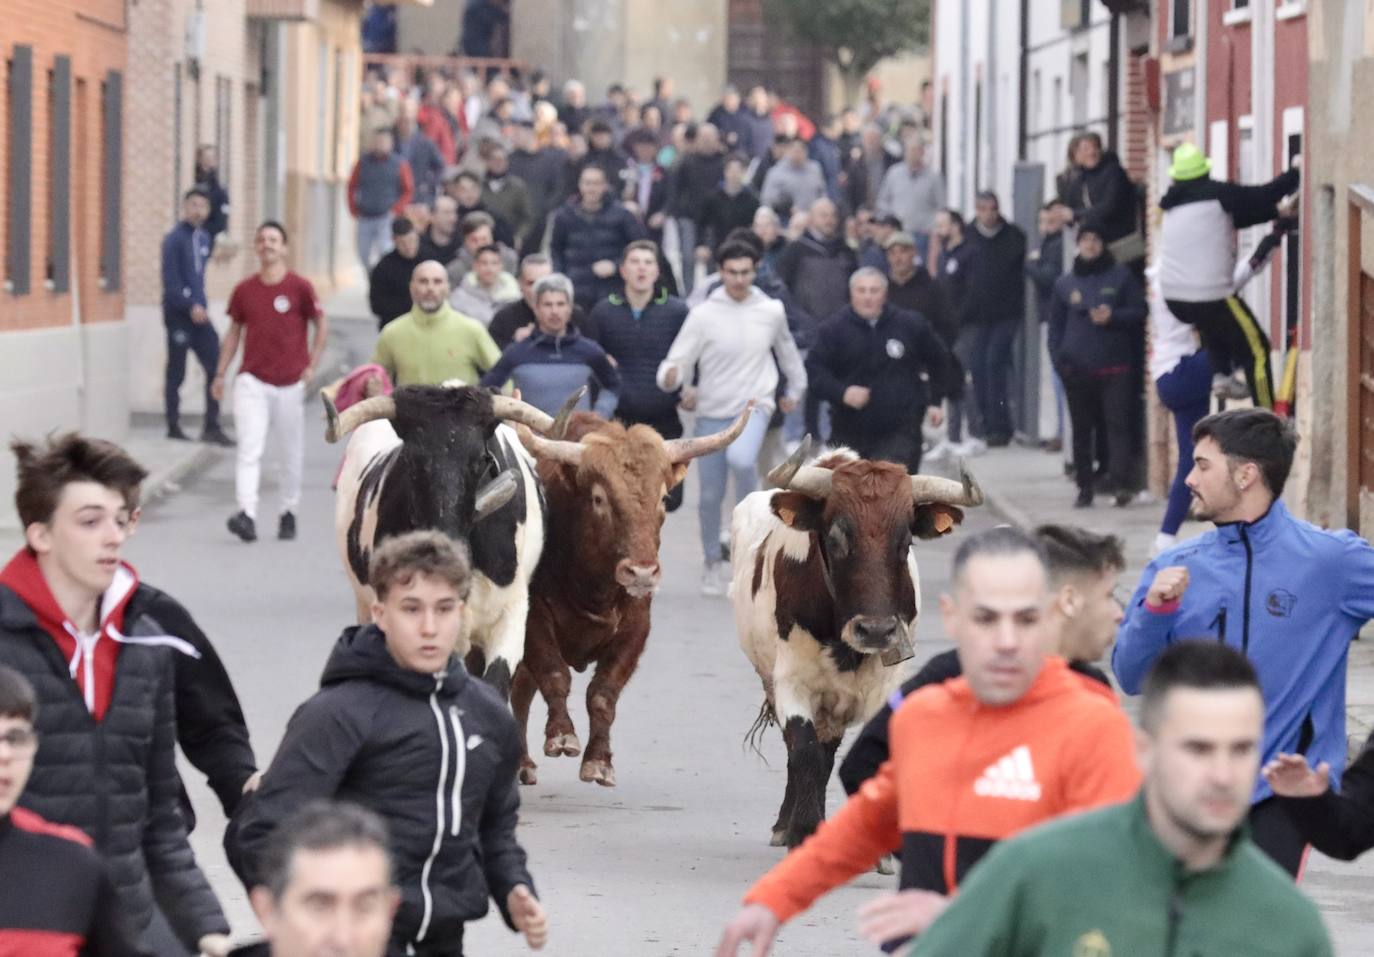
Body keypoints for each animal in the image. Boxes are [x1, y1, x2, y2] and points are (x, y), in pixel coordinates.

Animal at [736, 439, 983, 845]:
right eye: (836, 538)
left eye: (905, 542)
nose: (876, 631)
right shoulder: (792, 682)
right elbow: (804, 751)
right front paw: (803, 829)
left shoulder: (885, 685)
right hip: (771, 677)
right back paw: (786, 824)